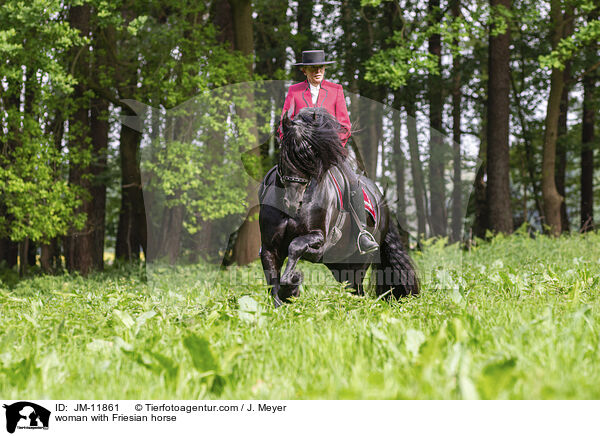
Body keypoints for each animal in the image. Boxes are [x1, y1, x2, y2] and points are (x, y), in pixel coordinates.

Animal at [258, 107, 418, 308]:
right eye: (283, 150)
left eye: (311, 153)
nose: (293, 202)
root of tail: (381, 199)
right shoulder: (270, 247)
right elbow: (273, 282)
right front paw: (287, 295)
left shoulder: (319, 238)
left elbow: (296, 246)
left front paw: (292, 284)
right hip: (340, 263)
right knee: (352, 287)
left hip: (360, 260)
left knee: (357, 289)